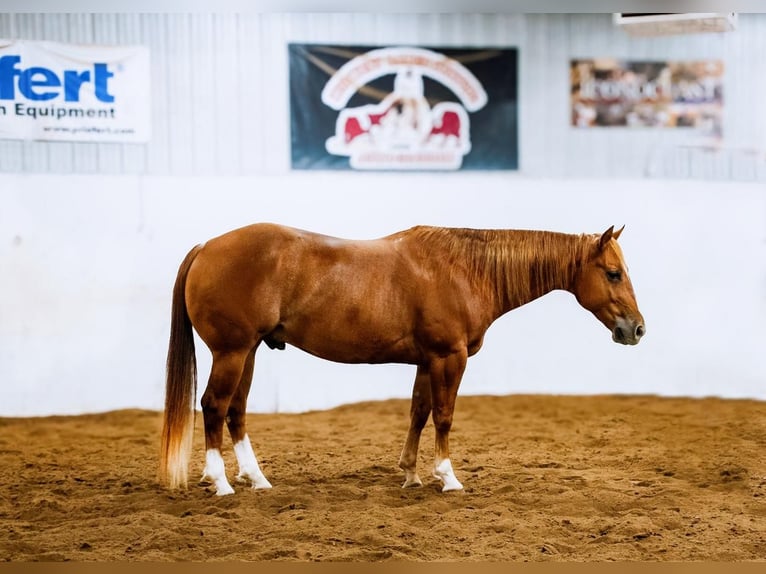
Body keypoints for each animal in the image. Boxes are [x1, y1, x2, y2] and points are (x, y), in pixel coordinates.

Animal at [159, 224, 644, 496]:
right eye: (613, 273)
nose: (636, 329)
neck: (465, 270)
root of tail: (206, 247)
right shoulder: (449, 357)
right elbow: (444, 416)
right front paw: (447, 477)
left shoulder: (427, 360)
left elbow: (419, 412)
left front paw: (410, 474)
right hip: (232, 352)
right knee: (214, 407)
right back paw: (220, 482)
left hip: (249, 352)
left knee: (236, 411)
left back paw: (255, 479)